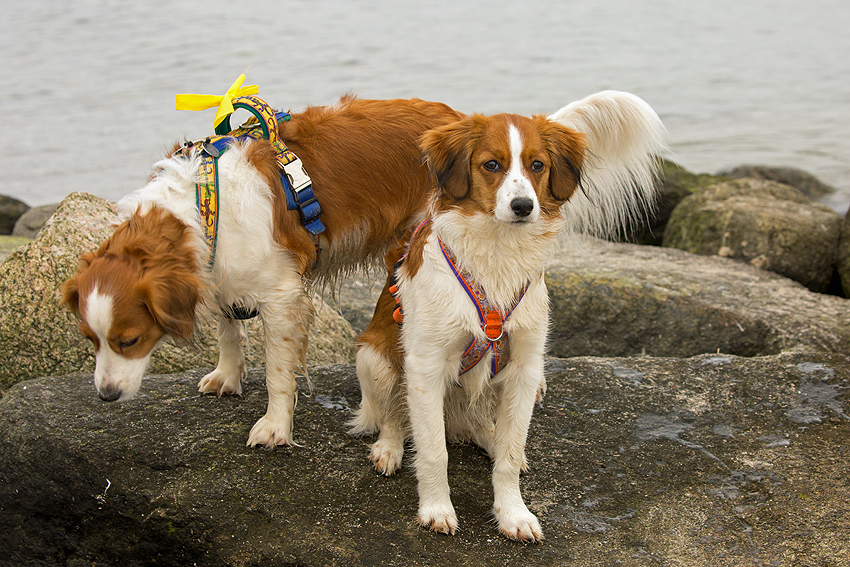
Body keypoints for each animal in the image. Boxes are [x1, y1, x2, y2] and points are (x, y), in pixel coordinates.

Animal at [63, 94, 464, 448]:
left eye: (129, 341)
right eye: (89, 339)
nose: (106, 395)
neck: (202, 208)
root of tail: (458, 119)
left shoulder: (281, 297)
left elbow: (277, 373)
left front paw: (275, 426)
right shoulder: (217, 267)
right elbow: (227, 328)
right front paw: (227, 374)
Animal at [348, 92, 664, 540]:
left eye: (537, 165)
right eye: (491, 165)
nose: (523, 205)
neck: (498, 252)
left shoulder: (525, 368)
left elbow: (510, 456)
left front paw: (513, 513)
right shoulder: (426, 366)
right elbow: (433, 451)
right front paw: (436, 509)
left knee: (483, 426)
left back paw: (487, 437)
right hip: (375, 358)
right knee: (394, 416)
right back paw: (388, 449)